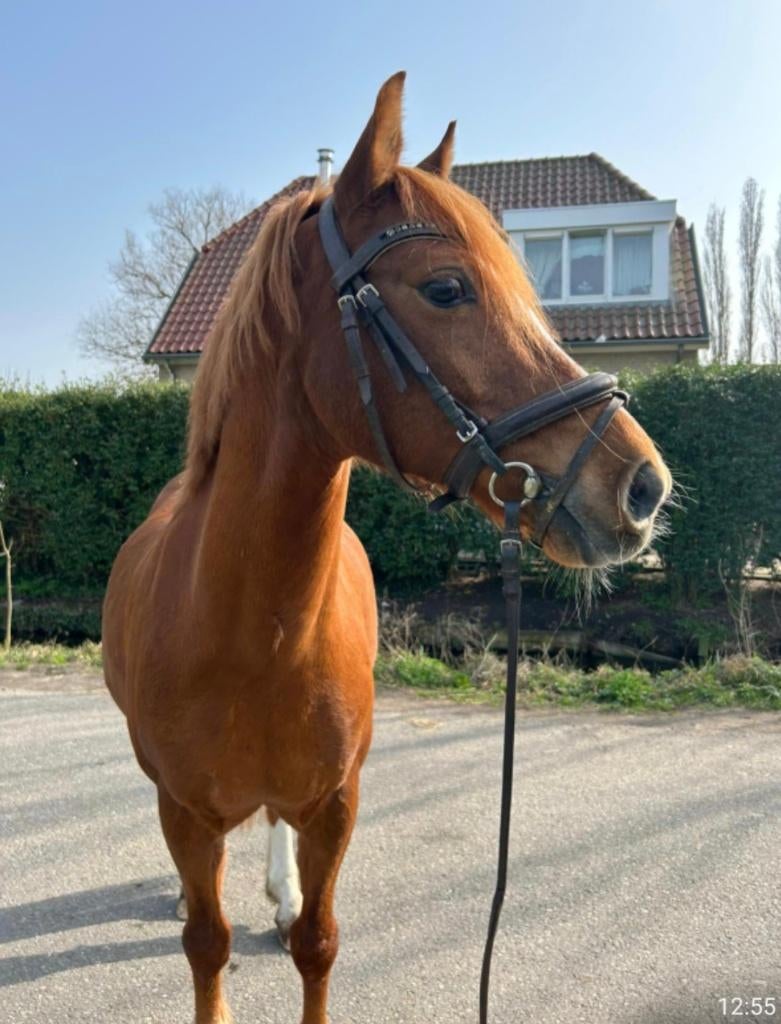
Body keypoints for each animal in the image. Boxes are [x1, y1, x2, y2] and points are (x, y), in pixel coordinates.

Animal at [102, 72, 671, 1024]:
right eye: (445, 289)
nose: (640, 487)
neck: (251, 632)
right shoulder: (183, 811)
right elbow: (207, 947)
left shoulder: (336, 806)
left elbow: (317, 943)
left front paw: (293, 909)